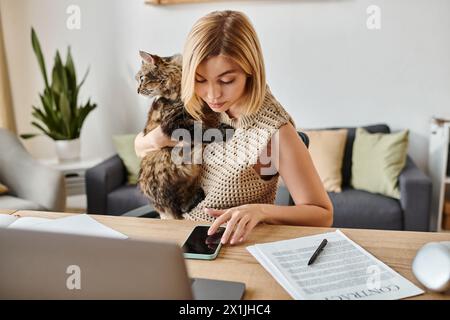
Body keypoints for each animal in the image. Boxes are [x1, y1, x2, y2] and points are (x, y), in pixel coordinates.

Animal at [134, 50, 232, 220]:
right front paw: (224, 129)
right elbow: (204, 130)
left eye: (141, 78)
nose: (138, 90)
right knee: (181, 207)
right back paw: (196, 197)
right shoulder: (174, 123)